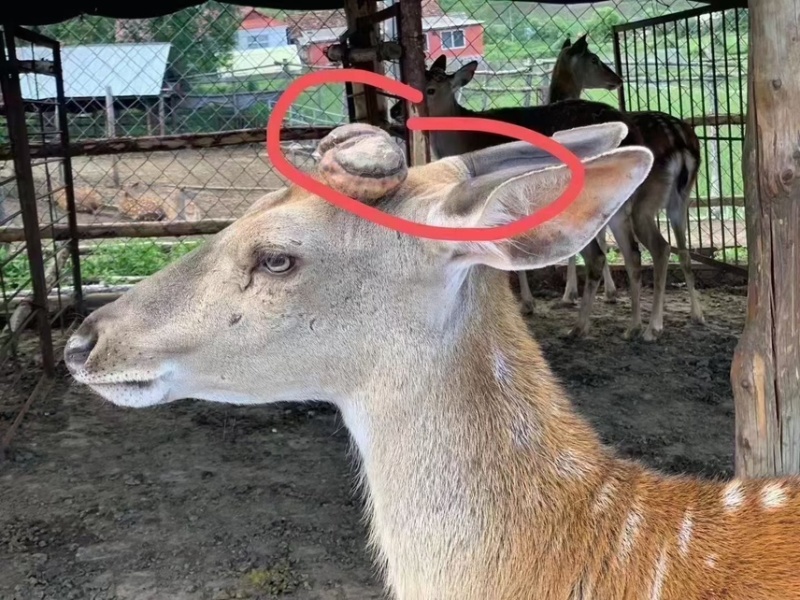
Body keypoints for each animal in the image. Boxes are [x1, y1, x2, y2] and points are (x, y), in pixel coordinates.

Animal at [389, 57, 646, 339]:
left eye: (431, 89)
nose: (394, 111)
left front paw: (525, 304)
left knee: (597, 256)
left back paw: (579, 327)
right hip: (620, 201)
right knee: (633, 254)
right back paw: (634, 326)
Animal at [550, 34, 705, 336]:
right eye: (594, 59)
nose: (617, 78)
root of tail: (681, 142)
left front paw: (573, 295)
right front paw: (602, 293)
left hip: (643, 203)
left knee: (658, 249)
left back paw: (650, 326)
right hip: (681, 200)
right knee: (683, 252)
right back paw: (696, 315)